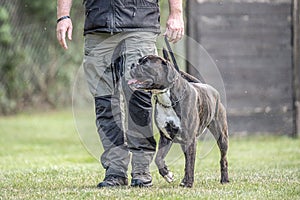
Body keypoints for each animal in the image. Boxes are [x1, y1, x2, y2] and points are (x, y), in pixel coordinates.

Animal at [127, 55, 230, 188]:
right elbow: (158, 158)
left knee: (223, 159)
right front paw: (167, 175)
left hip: (221, 136)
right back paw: (183, 180)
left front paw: (189, 183)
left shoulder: (191, 139)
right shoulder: (166, 137)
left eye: (145, 63)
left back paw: (224, 179)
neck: (167, 99)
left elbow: (190, 163)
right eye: (139, 61)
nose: (132, 64)